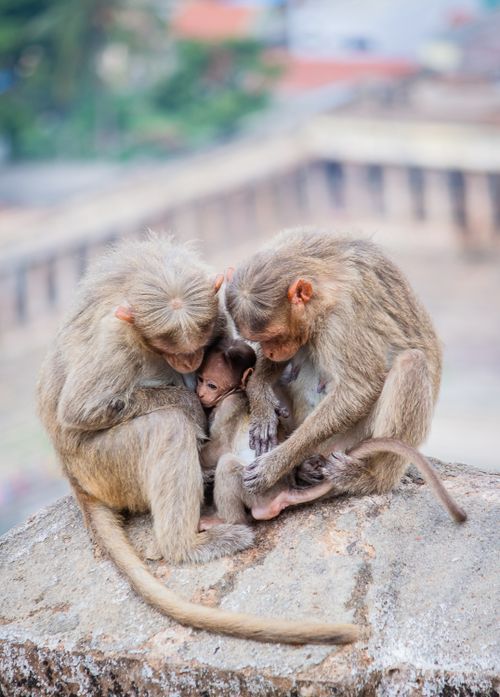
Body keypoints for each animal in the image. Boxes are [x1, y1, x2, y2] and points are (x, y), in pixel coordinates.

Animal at [37, 234, 358, 645]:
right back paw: (185, 545)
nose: (190, 363)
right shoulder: (116, 337)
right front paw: (192, 406)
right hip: (100, 466)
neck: (155, 270)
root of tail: (75, 480)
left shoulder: (216, 314)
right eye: (171, 348)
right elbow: (80, 410)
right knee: (167, 426)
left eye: (197, 347)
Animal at [224, 228, 466, 523]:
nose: (270, 351)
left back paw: (371, 477)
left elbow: (359, 388)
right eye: (261, 340)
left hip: (349, 439)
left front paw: (275, 464)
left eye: (275, 337)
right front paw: (261, 404)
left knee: (412, 363)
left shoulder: (342, 318)